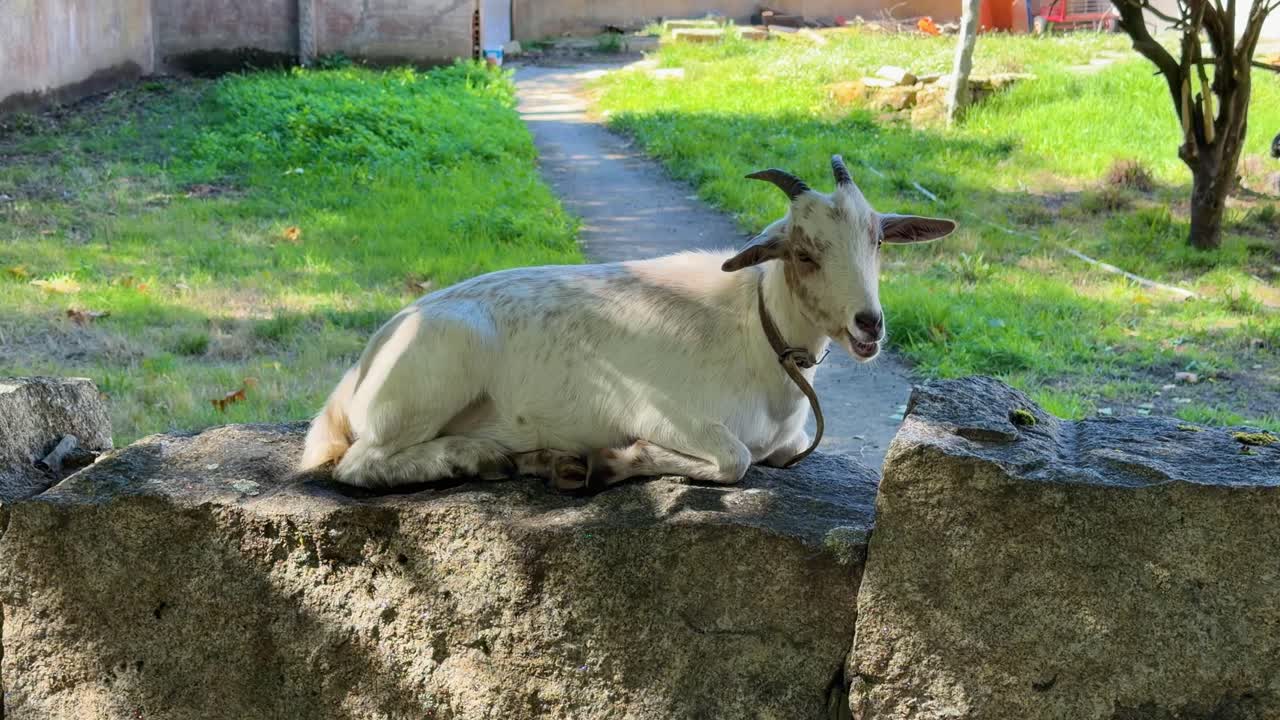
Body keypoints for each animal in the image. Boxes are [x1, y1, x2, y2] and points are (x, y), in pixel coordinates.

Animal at [300, 155, 955, 490]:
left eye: (877, 240)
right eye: (803, 252)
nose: (869, 325)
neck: (758, 333)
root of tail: (354, 378)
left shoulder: (789, 440)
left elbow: (774, 454)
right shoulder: (661, 412)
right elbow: (736, 460)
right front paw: (612, 461)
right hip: (432, 379)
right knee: (358, 465)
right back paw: (471, 457)